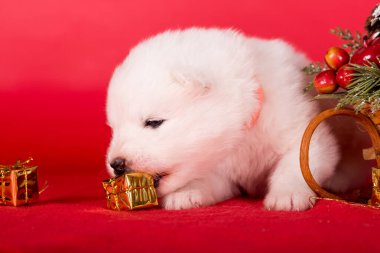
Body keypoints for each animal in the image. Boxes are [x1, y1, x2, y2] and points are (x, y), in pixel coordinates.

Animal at [106, 27, 342, 211]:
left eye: (153, 122)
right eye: (114, 128)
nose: (115, 164)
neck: (241, 137)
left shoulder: (306, 134)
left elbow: (296, 165)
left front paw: (287, 194)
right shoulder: (219, 170)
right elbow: (206, 181)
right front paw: (186, 193)